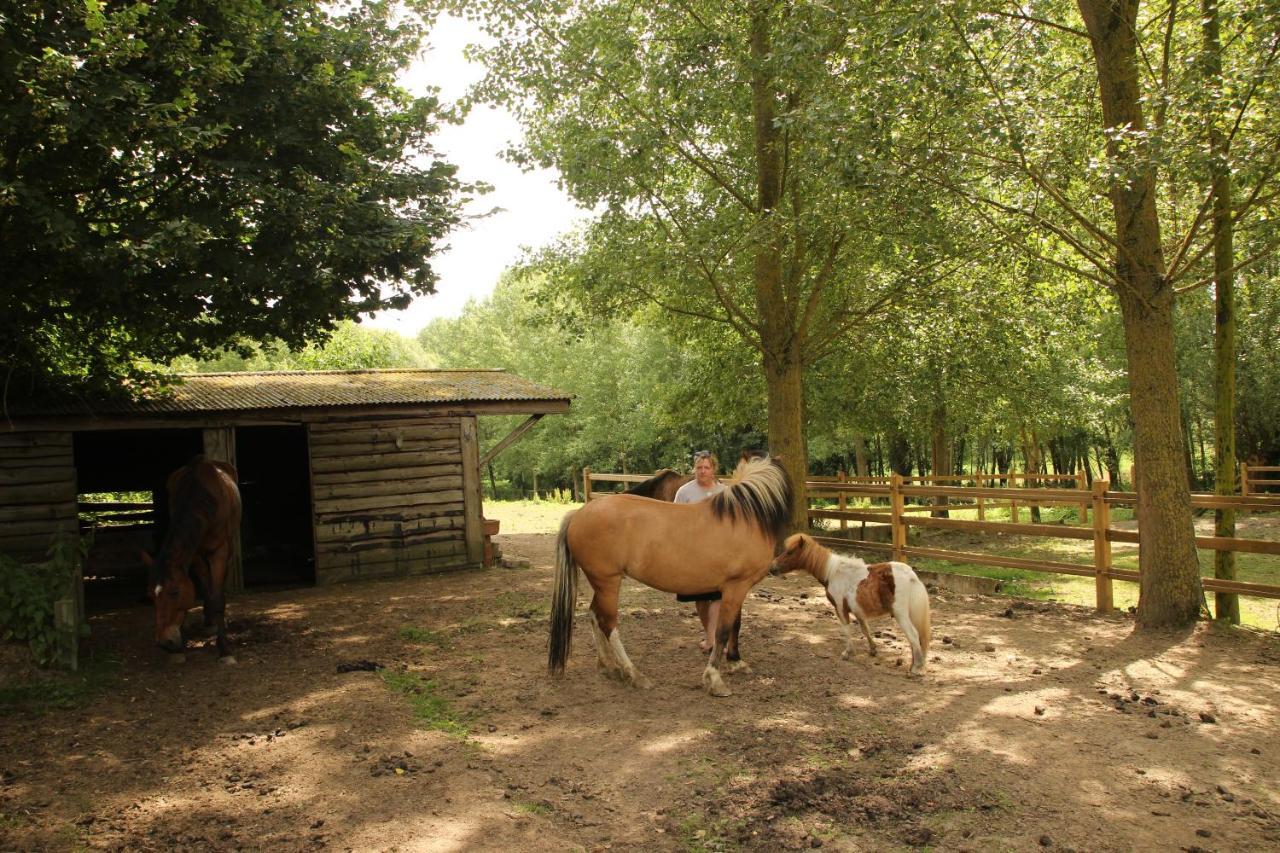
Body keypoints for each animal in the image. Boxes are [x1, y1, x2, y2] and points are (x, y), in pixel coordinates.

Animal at [142, 455, 241, 660]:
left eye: (174, 592)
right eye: (150, 596)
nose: (164, 642)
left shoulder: (220, 551)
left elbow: (217, 598)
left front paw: (225, 650)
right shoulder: (193, 553)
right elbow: (205, 590)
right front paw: (181, 647)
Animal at [542, 455, 783, 696]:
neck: (744, 517)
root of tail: (578, 514)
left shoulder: (736, 588)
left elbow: (735, 625)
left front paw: (736, 662)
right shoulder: (736, 587)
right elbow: (723, 631)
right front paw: (715, 679)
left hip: (601, 584)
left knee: (594, 615)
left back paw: (608, 666)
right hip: (608, 583)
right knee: (608, 624)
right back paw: (634, 674)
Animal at [768, 535, 931, 676]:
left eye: (790, 552)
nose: (772, 568)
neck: (833, 573)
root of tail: (911, 575)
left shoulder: (840, 608)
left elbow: (846, 629)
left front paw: (848, 653)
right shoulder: (858, 611)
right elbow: (865, 629)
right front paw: (873, 650)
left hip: (900, 614)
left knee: (913, 636)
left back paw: (916, 668)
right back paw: (913, 665)